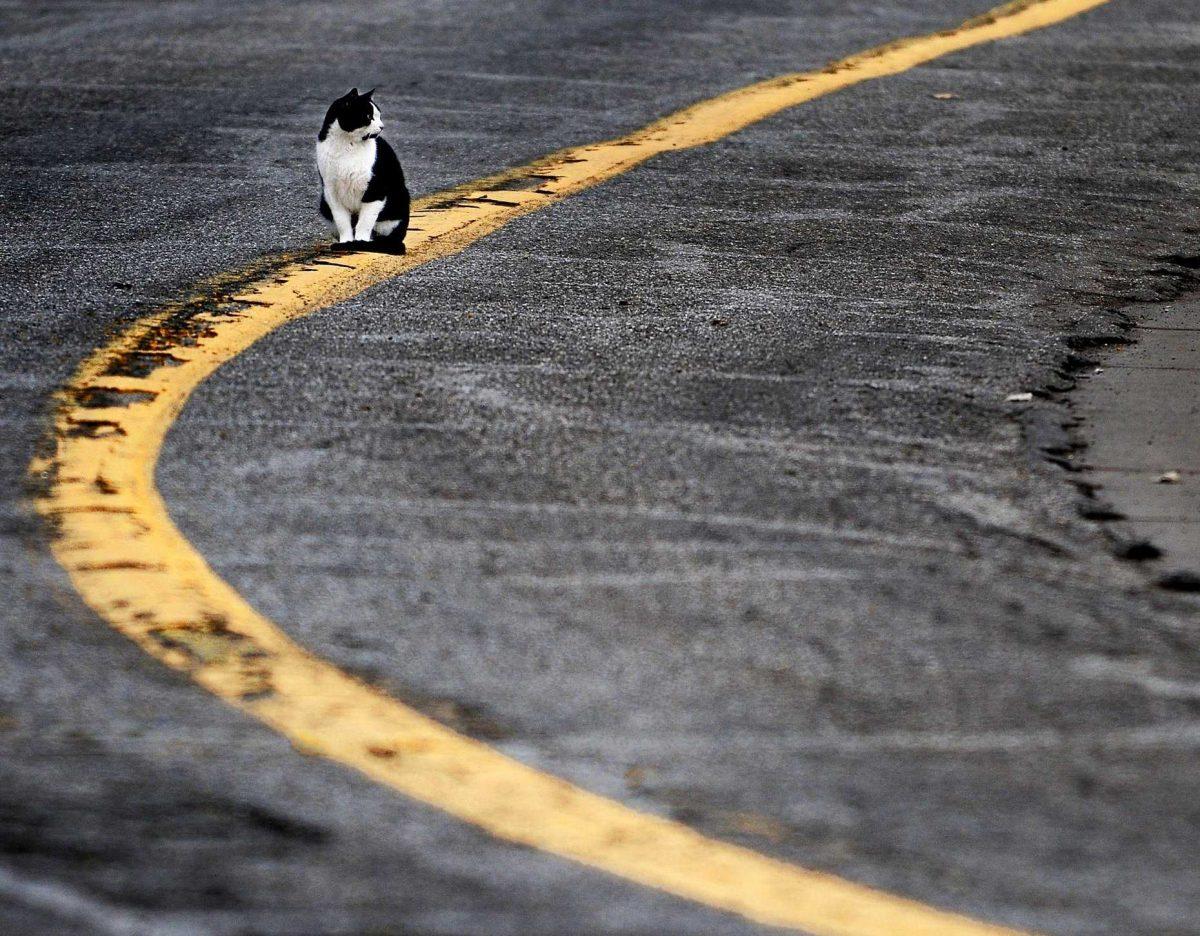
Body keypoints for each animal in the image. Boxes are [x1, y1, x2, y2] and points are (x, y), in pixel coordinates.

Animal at [316, 87, 410, 248]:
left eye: (379, 115)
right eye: (368, 116)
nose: (382, 126)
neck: (346, 143)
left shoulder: (375, 191)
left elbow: (365, 222)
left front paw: (360, 242)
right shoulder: (331, 191)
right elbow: (342, 221)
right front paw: (346, 242)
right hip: (324, 203)